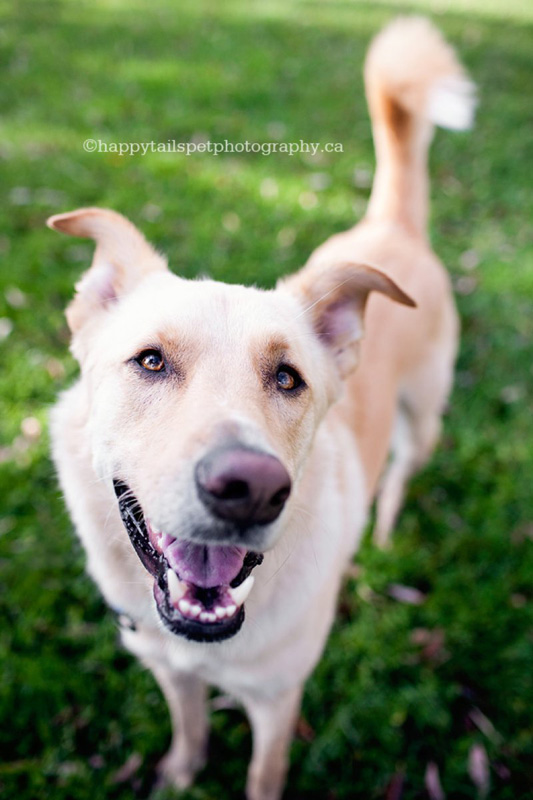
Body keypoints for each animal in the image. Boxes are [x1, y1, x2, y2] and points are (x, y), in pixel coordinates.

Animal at [47, 18, 472, 800]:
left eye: (287, 378)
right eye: (150, 361)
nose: (249, 488)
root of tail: (391, 228)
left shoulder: (279, 702)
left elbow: (263, 773)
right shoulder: (172, 672)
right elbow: (189, 730)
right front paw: (178, 776)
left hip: (424, 417)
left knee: (400, 474)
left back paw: (382, 533)